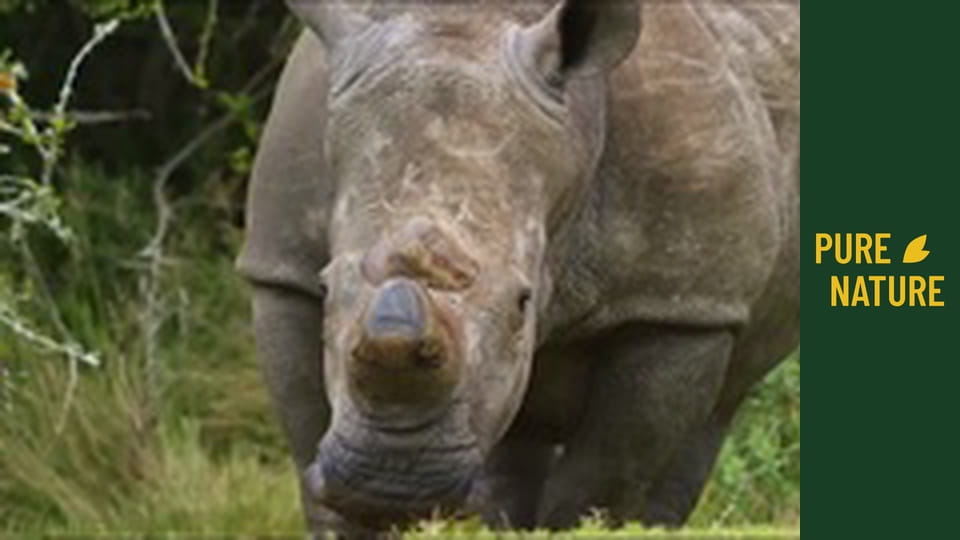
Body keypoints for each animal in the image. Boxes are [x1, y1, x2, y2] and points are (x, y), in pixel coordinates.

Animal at [236, 0, 799, 536]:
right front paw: (358, 513)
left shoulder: (678, 306)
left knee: (713, 414)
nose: (391, 481)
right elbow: (308, 437)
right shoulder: (281, 269)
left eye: (522, 303)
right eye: (326, 287)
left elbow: (602, 482)